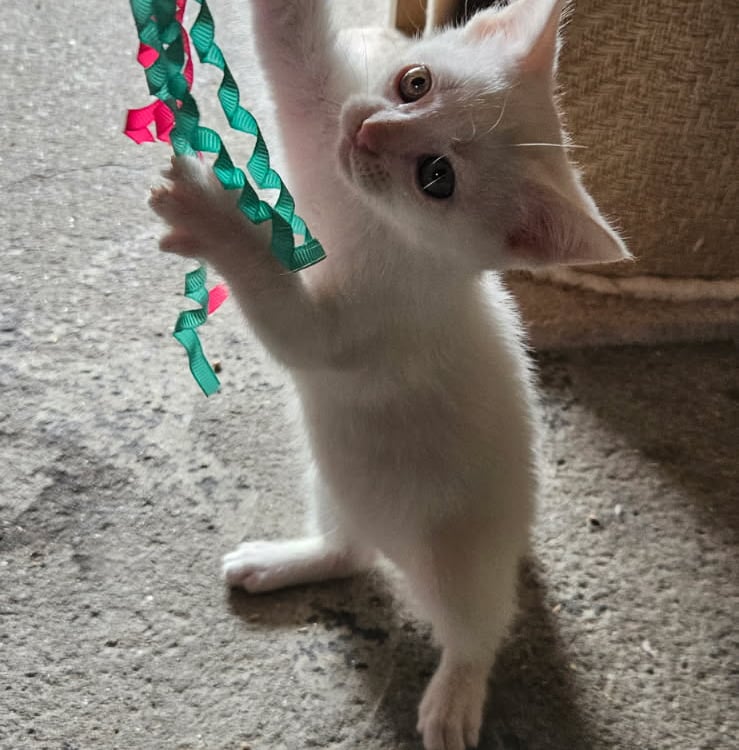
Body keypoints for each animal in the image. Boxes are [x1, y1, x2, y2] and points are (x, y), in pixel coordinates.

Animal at [150, 1, 628, 748]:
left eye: (436, 177)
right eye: (414, 83)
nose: (369, 131)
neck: (382, 227)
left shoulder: (360, 329)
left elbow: (290, 319)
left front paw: (212, 218)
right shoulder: (322, 142)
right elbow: (294, 60)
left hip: (462, 552)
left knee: (480, 624)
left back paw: (455, 696)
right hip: (337, 479)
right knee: (350, 552)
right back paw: (284, 562)